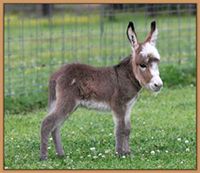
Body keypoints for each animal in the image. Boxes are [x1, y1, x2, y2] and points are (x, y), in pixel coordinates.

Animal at [39, 21, 162, 160]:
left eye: (157, 63)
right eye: (142, 65)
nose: (158, 85)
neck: (126, 77)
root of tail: (56, 74)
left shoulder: (128, 107)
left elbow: (127, 129)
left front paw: (128, 152)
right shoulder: (118, 105)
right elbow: (120, 129)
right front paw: (119, 154)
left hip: (71, 105)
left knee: (56, 127)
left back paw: (61, 154)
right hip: (67, 101)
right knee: (47, 123)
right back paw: (43, 157)